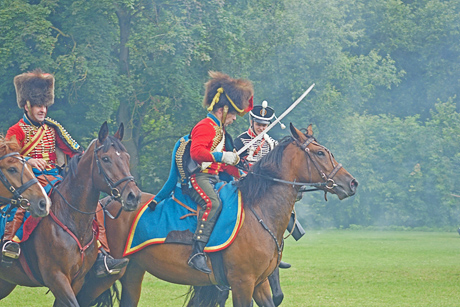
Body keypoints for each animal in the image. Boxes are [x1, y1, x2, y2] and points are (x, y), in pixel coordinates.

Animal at [0, 123, 141, 307]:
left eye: (126, 157)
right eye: (105, 159)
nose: (133, 196)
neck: (71, 218)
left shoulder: (77, 280)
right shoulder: (57, 278)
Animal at [77, 123, 358, 307]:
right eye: (320, 153)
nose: (351, 183)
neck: (259, 213)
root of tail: (107, 203)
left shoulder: (260, 284)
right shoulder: (242, 283)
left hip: (133, 273)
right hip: (105, 275)